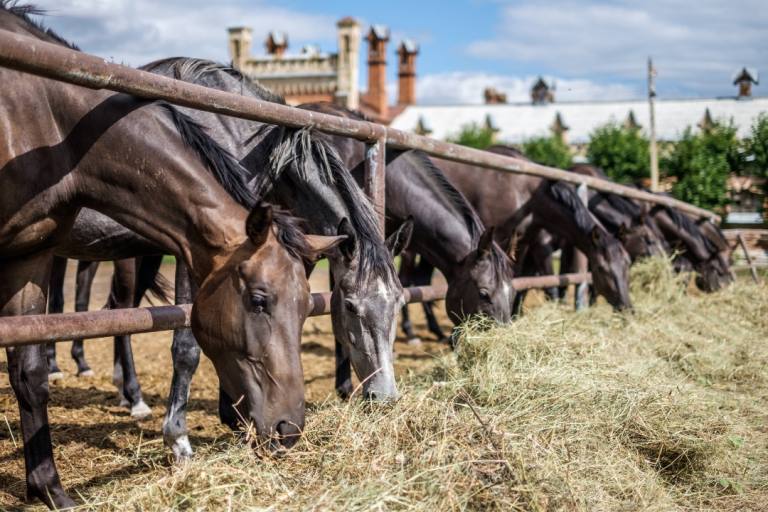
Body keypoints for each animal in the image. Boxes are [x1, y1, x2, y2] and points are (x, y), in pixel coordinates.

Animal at [0, 4, 343, 507]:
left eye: (307, 306)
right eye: (259, 301)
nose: (288, 429)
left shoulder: (36, 255)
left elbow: (30, 369)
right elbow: (185, 345)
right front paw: (180, 437)